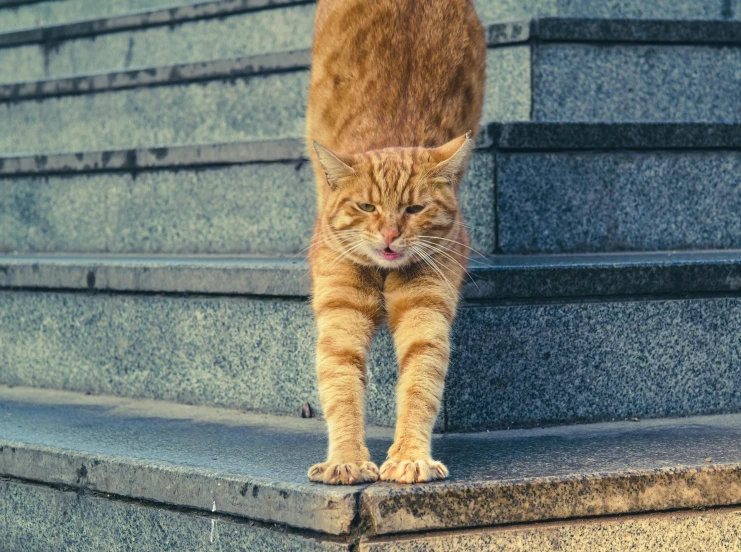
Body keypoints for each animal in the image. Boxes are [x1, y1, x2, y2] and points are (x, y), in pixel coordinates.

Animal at [304, 0, 482, 484]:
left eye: (414, 209)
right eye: (367, 207)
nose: (389, 234)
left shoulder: (426, 310)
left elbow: (420, 385)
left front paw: (409, 457)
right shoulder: (340, 314)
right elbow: (342, 390)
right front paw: (345, 459)